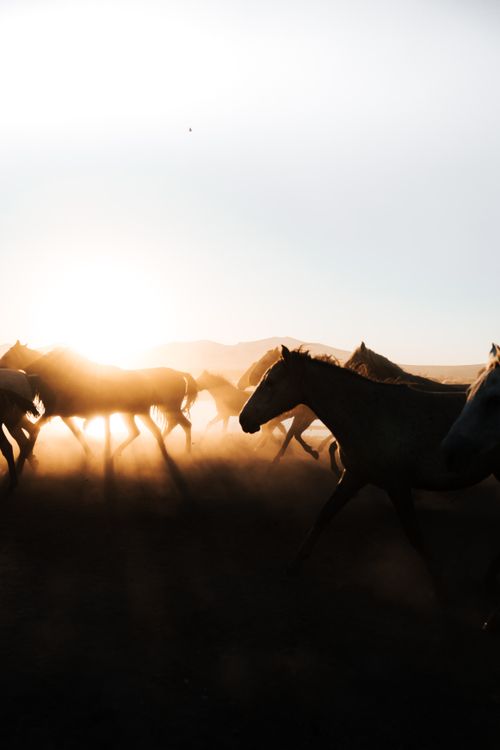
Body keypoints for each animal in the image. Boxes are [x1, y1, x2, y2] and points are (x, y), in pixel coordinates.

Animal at [0, 343, 198, 471]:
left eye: (8, 354)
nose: (1, 366)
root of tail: (180, 373)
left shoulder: (55, 412)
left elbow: (36, 430)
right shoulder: (62, 414)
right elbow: (76, 432)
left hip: (162, 409)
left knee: (182, 425)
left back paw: (186, 454)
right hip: (139, 413)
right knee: (151, 431)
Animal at [239, 346, 500, 627]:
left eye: (270, 381)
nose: (244, 419)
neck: (368, 415)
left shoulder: (398, 486)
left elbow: (415, 536)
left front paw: (442, 592)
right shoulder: (354, 477)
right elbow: (324, 515)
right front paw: (293, 565)